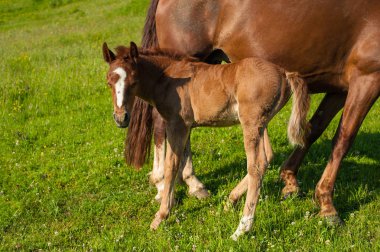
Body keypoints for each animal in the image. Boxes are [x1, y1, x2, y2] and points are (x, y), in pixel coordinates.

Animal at [102, 41, 310, 240]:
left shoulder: (177, 124)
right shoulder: (185, 126)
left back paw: (241, 229)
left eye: (134, 81)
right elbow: (183, 157)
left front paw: (161, 216)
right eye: (109, 83)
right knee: (267, 157)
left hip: (251, 123)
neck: (167, 77)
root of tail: (284, 73)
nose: (121, 118)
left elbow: (172, 165)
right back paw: (230, 200)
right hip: (260, 124)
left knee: (256, 165)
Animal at [127, 0, 380, 222]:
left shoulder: (340, 87)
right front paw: (327, 205)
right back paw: (163, 184)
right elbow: (343, 140)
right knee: (162, 123)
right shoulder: (367, 78)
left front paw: (290, 181)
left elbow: (312, 130)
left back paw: (193, 184)